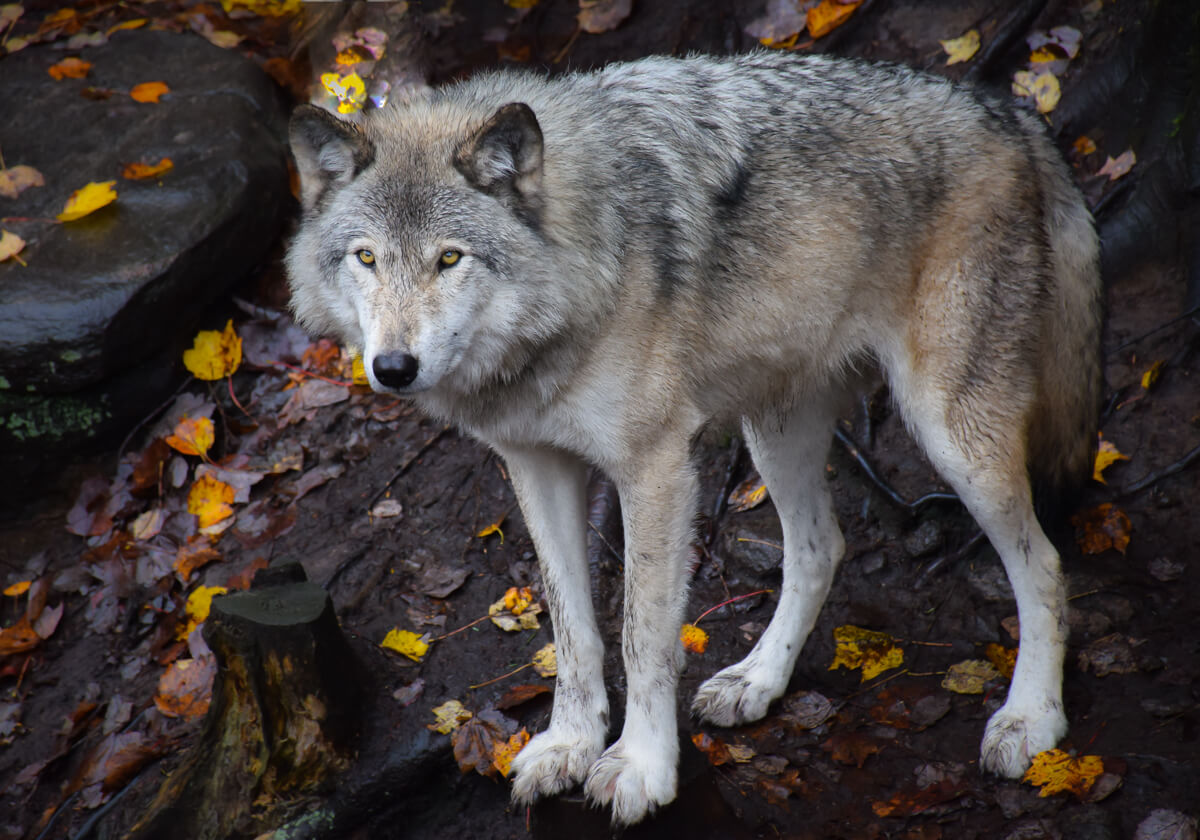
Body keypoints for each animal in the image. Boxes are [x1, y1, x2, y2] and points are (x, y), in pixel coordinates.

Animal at [285, 49, 1099, 825]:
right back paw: (758, 680)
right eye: (366, 257)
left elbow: (641, 634)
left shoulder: (654, 469)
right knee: (820, 548)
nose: (392, 368)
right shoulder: (536, 466)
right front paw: (570, 746)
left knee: (1045, 565)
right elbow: (572, 630)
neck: (584, 267)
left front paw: (640, 766)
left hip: (950, 434)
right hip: (774, 429)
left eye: (449, 258)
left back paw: (1031, 719)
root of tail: (1005, 108)